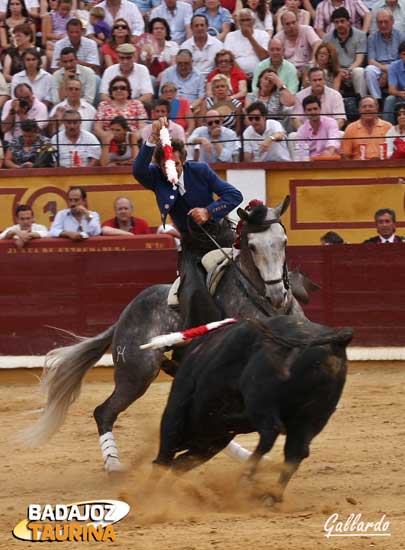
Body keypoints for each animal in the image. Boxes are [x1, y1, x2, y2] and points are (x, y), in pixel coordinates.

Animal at [26, 197, 306, 474]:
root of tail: (124, 317)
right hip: (136, 375)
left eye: (284, 241)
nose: (278, 295)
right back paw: (114, 464)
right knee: (104, 411)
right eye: (252, 246)